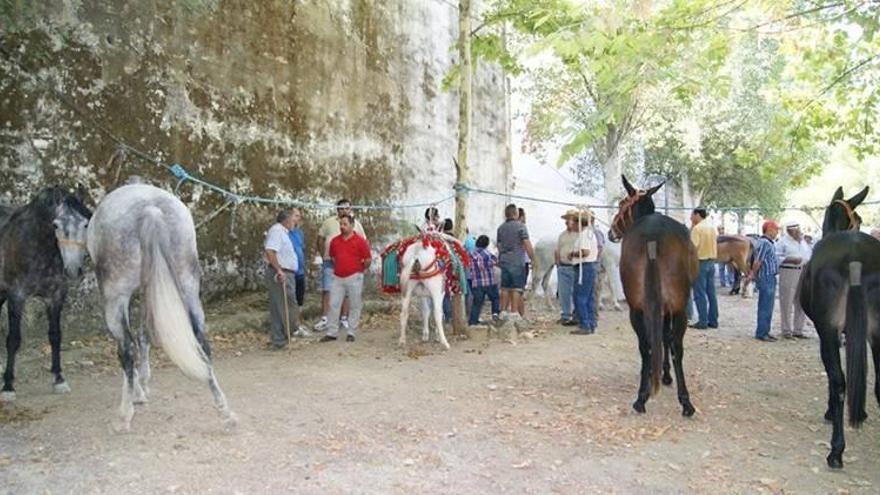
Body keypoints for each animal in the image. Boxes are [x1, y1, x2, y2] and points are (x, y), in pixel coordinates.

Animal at [0, 188, 91, 402]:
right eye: (56, 225)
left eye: (85, 223)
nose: (73, 270)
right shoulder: (16, 297)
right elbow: (13, 340)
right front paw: (8, 386)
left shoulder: (55, 296)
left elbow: (55, 336)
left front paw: (59, 379)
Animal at [87, 184, 235, 432]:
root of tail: (150, 210)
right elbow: (145, 334)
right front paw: (144, 383)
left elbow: (133, 343)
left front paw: (138, 393)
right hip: (188, 286)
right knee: (201, 341)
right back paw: (224, 409)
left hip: (115, 297)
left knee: (126, 349)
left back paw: (125, 415)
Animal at [608, 176, 696, 416]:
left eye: (622, 204)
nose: (611, 232)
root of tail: (653, 237)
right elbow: (663, 338)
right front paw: (662, 375)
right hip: (676, 308)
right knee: (672, 346)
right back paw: (679, 400)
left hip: (640, 309)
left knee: (650, 344)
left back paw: (646, 395)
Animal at [796, 186, 880, 468]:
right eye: (861, 219)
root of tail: (855, 256)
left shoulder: (828, 333)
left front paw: (832, 413)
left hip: (829, 331)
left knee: (839, 382)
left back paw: (836, 451)